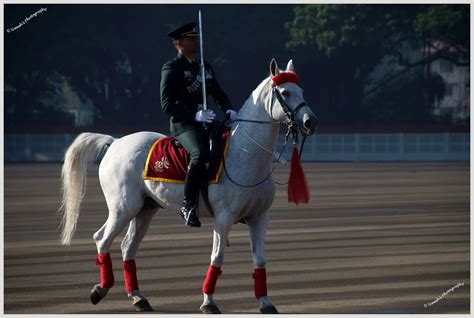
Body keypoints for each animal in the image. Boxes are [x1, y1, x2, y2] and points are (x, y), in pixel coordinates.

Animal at [58, 58, 318, 314]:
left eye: (301, 90)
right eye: (285, 92)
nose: (311, 122)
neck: (246, 152)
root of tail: (115, 142)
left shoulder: (259, 217)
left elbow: (260, 260)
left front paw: (265, 302)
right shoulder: (224, 218)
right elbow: (217, 257)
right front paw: (209, 302)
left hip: (145, 209)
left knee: (127, 247)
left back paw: (139, 298)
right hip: (123, 208)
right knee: (102, 239)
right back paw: (100, 289)